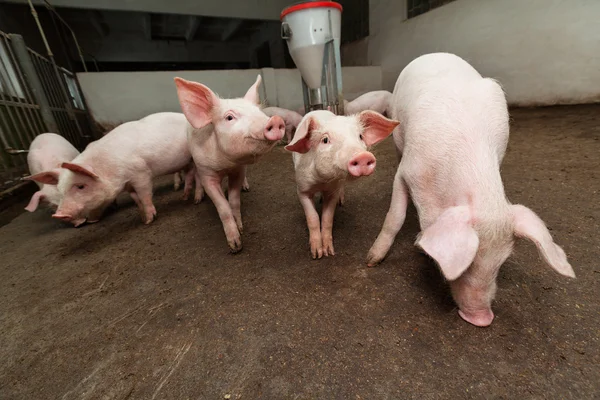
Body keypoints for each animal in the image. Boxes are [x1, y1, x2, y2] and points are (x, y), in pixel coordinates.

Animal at [28, 112, 192, 227]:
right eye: (61, 191)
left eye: (81, 186)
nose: (59, 215)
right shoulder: (128, 184)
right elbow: (136, 198)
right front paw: (142, 218)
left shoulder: (141, 173)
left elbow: (145, 195)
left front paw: (150, 220)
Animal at [173, 73, 286, 252]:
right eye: (229, 117)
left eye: (259, 112)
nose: (275, 120)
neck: (226, 165)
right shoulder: (207, 172)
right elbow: (223, 207)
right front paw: (235, 246)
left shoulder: (239, 170)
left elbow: (234, 200)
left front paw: (240, 228)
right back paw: (197, 199)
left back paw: (246, 188)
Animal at [286, 109, 398, 260]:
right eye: (325, 140)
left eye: (360, 136)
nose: (362, 156)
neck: (322, 181)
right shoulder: (302, 189)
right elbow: (313, 218)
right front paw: (317, 255)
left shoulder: (333, 190)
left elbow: (327, 218)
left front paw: (329, 252)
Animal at [364, 52, 576, 328]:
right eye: (468, 264)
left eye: (501, 263)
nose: (482, 319)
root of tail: (436, 53)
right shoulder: (407, 171)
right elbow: (394, 217)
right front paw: (372, 261)